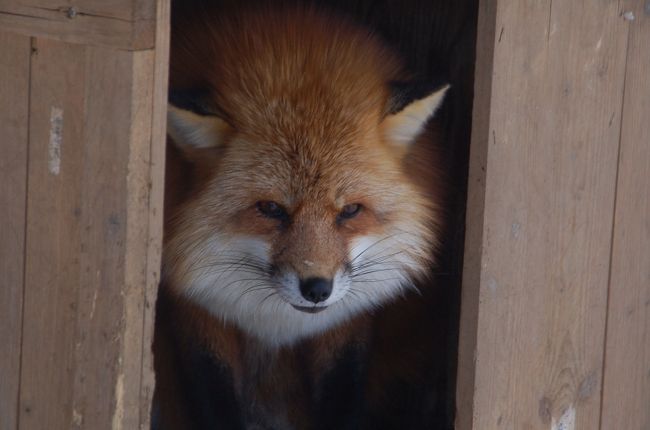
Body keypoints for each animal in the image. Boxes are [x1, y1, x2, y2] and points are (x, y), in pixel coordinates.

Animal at [154, 4, 448, 430]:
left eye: (350, 211)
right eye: (271, 209)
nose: (317, 288)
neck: (276, 324)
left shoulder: (347, 323)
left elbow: (341, 392)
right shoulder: (197, 317)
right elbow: (216, 398)